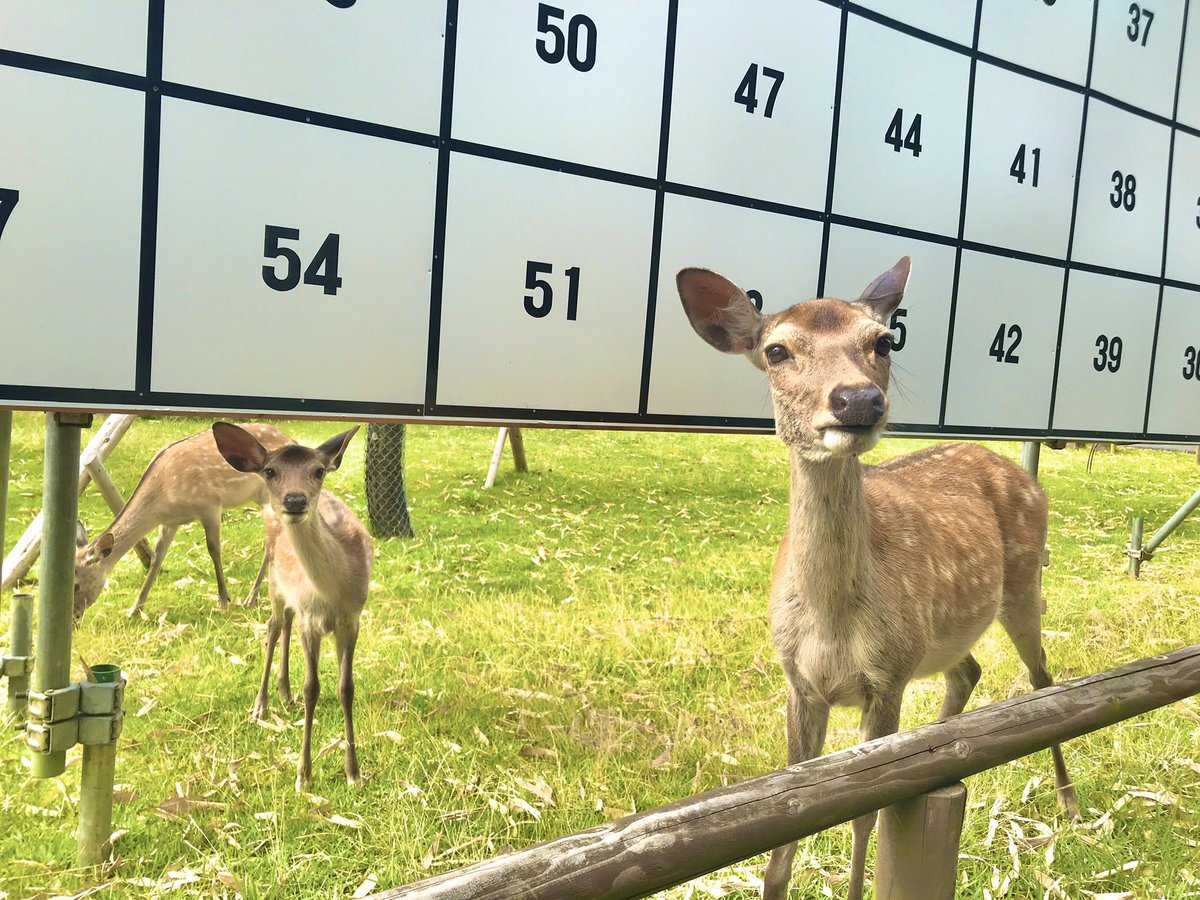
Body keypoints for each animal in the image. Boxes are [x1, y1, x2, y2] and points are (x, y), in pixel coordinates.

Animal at [73, 422, 290, 622]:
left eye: (76, 585)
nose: (74, 619)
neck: (164, 497)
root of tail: (288, 438)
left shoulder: (210, 504)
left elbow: (214, 549)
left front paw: (223, 600)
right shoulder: (170, 522)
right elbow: (157, 559)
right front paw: (135, 609)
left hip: (270, 497)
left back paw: (251, 597)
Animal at [212, 422, 372, 790]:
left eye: (318, 471)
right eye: (271, 471)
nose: (295, 500)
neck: (331, 593)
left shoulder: (352, 618)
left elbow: (346, 688)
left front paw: (353, 771)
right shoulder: (310, 619)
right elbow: (312, 688)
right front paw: (303, 774)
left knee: (284, 624)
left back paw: (284, 692)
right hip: (274, 581)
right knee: (273, 627)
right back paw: (261, 704)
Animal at [677, 257, 1078, 900]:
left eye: (884, 340)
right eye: (776, 349)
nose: (857, 399)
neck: (832, 618)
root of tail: (1023, 476)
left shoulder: (888, 677)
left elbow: (866, 817)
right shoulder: (800, 681)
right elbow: (781, 831)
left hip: (1022, 583)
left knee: (1044, 681)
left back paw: (1067, 801)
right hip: (943, 636)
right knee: (969, 669)